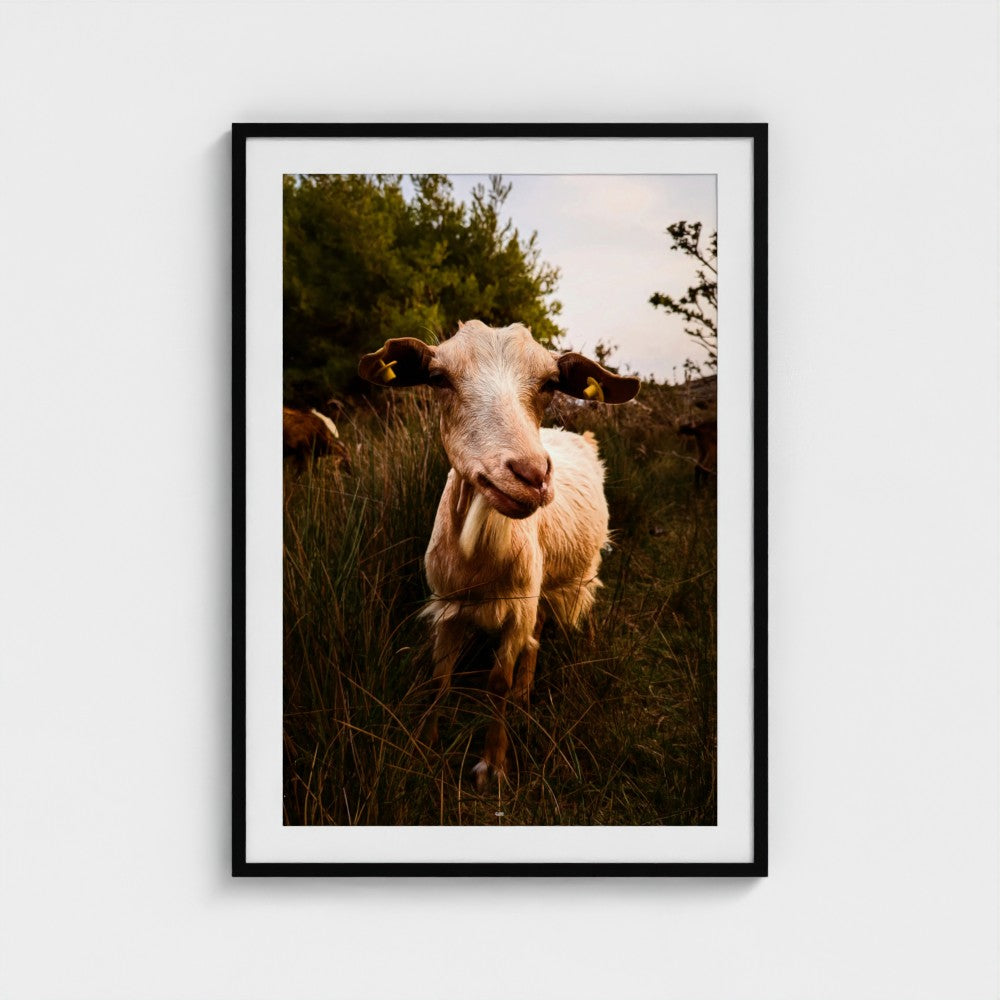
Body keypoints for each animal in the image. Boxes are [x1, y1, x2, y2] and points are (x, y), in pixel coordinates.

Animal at [359, 320, 639, 788]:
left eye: (549, 384)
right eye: (439, 378)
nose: (531, 475)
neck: (479, 563)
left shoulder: (517, 607)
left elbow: (498, 682)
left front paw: (492, 764)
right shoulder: (447, 605)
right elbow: (438, 680)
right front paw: (424, 748)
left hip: (565, 579)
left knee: (548, 626)